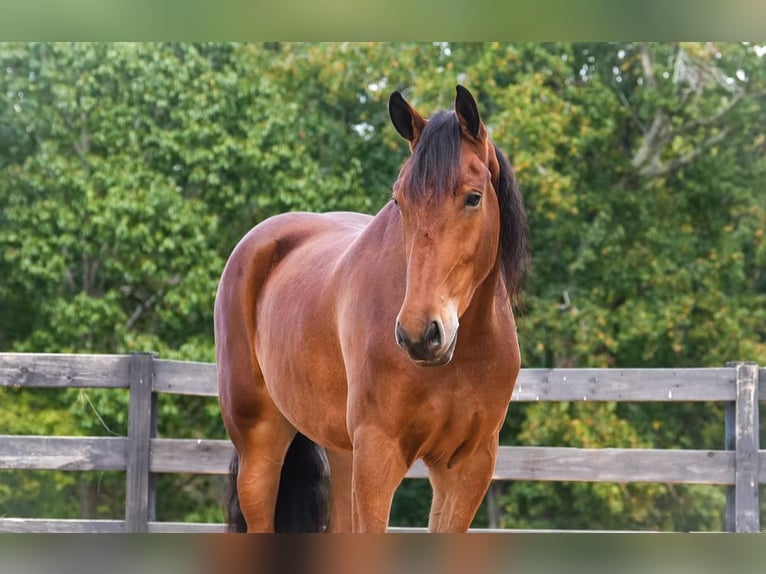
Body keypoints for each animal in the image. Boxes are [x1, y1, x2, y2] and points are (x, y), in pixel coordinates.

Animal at [214, 85, 529, 533]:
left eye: (473, 198)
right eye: (400, 201)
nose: (419, 334)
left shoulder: (468, 466)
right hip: (260, 448)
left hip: (343, 453)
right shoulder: (378, 456)